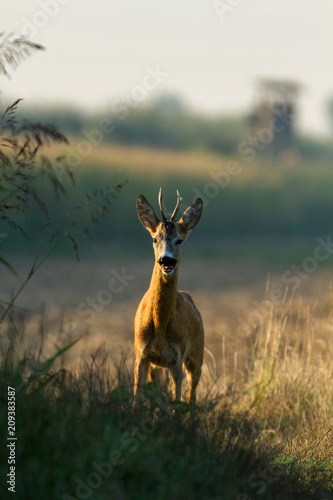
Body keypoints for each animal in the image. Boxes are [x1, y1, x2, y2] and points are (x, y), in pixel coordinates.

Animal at [134, 189, 204, 408]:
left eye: (179, 240)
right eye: (154, 239)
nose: (167, 260)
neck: (159, 325)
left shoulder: (177, 357)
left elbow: (176, 402)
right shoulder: (141, 354)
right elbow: (137, 398)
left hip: (197, 355)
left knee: (191, 396)